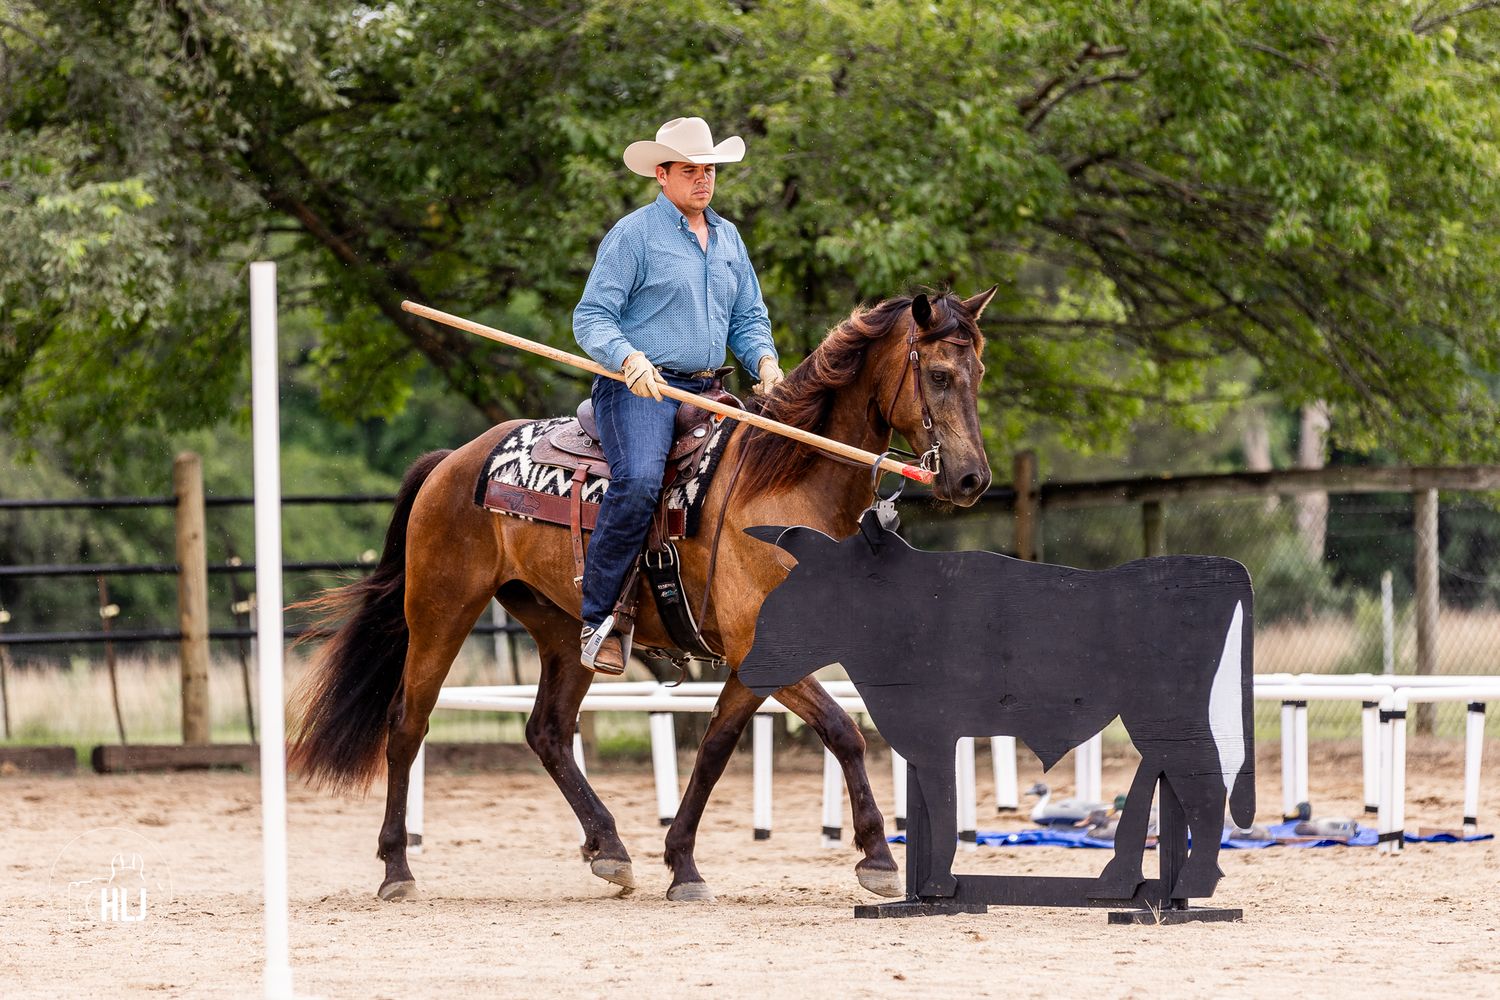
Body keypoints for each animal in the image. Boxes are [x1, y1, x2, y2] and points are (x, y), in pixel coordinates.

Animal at [288, 287, 997, 902]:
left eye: (979, 372)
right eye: (939, 374)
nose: (971, 479)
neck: (783, 484)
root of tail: (454, 461)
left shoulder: (755, 658)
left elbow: (714, 749)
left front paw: (682, 863)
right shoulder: (764, 647)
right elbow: (844, 731)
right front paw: (876, 856)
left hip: (563, 630)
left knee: (548, 732)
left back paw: (609, 849)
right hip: (441, 611)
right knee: (408, 723)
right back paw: (397, 869)